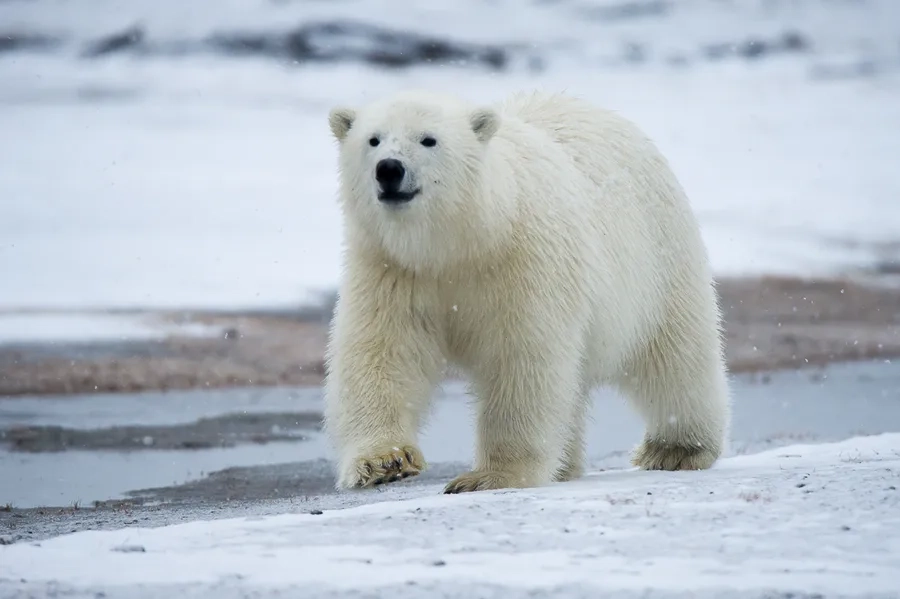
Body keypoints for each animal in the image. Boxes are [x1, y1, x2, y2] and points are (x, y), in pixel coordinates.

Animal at [324, 89, 732, 492]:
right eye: (373, 140)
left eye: (428, 139)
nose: (389, 169)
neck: (465, 241)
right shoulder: (392, 269)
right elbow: (380, 352)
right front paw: (384, 461)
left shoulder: (524, 264)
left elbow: (523, 359)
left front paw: (490, 477)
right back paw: (566, 464)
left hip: (658, 256)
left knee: (674, 354)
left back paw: (675, 448)